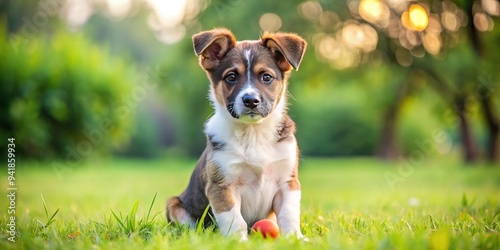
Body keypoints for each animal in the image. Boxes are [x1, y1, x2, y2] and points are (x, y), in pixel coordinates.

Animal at [166, 28, 306, 241]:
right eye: (231, 77)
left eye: (266, 77)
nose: (251, 100)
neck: (253, 133)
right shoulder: (222, 186)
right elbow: (234, 219)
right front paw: (238, 242)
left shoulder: (287, 182)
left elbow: (288, 214)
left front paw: (295, 239)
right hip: (174, 205)